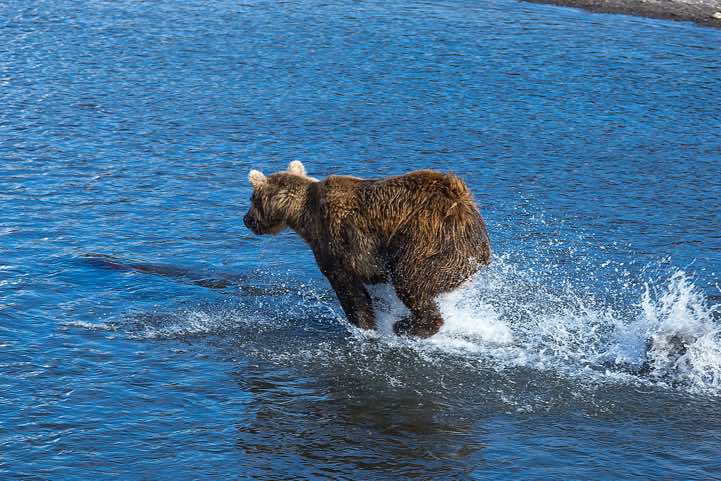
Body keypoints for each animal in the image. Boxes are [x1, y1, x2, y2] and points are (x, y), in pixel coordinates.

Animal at [243, 160, 491, 338]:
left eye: (252, 199)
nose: (246, 220)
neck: (304, 216)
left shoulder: (334, 244)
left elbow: (350, 290)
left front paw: (365, 326)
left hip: (428, 242)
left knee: (411, 281)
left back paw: (406, 326)